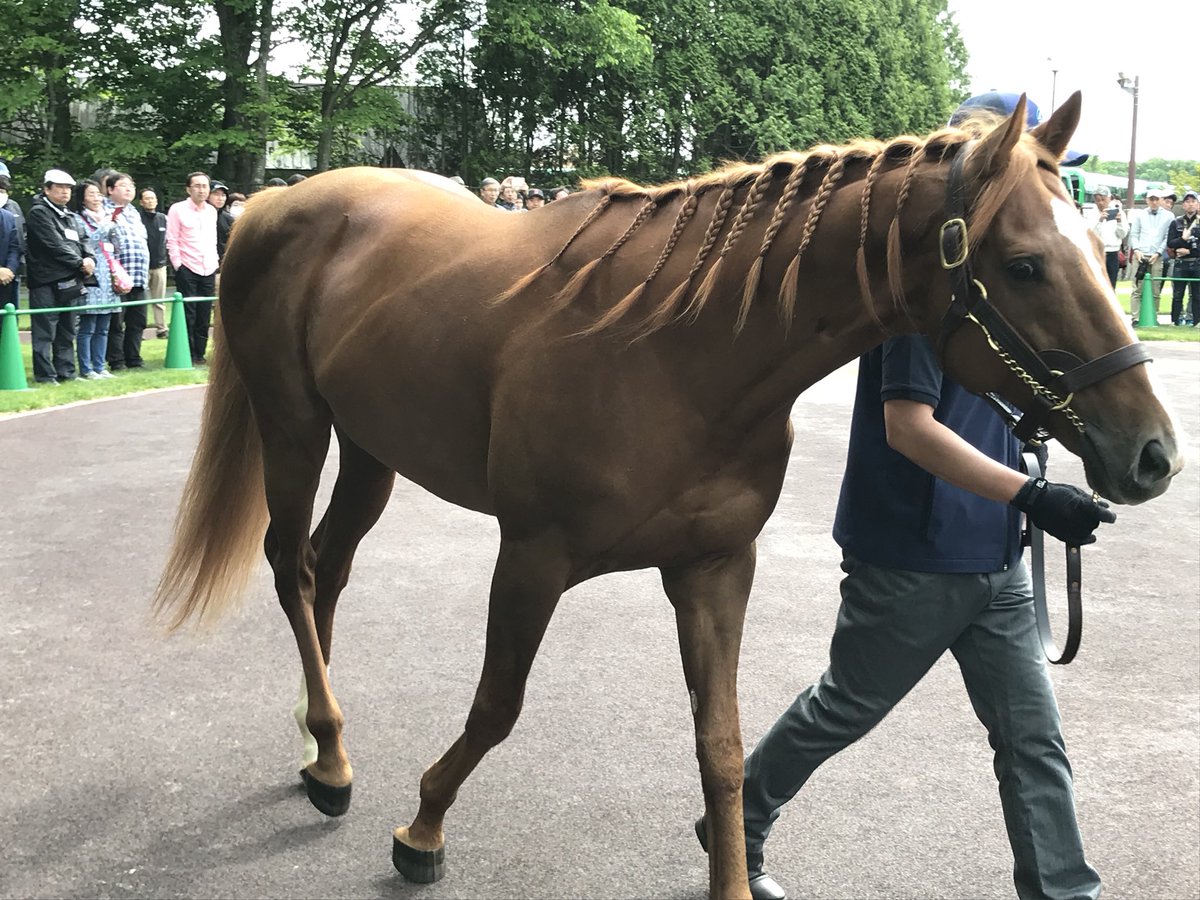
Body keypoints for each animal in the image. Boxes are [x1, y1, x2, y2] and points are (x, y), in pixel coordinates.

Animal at [150, 93, 1180, 900]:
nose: (1153, 454)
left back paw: (318, 736)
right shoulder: (532, 556)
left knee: (327, 569)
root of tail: (280, 198)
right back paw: (329, 757)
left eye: (1101, 244)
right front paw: (424, 827)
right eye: (1024, 264)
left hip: (372, 447)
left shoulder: (714, 568)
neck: (676, 352)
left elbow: (722, 748)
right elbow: (497, 706)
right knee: (291, 567)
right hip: (294, 423)